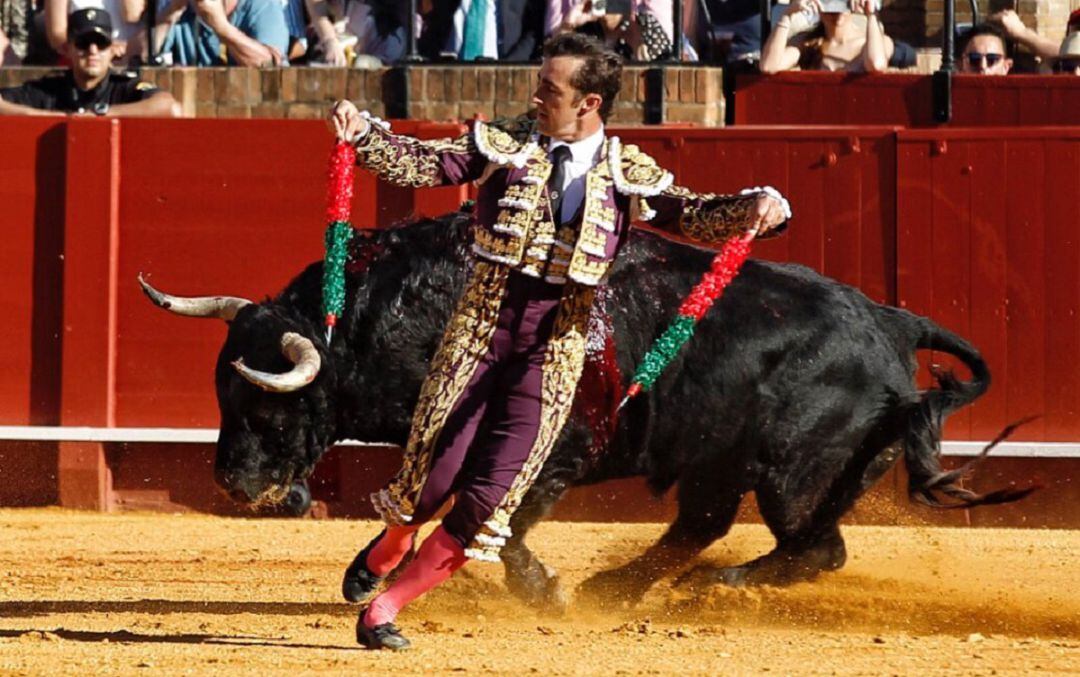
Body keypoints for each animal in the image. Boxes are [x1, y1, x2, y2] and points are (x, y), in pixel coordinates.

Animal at [141, 210, 1028, 608]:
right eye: (220, 389)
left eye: (264, 400)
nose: (233, 483)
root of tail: (890, 320)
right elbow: (432, 500)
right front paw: (365, 572)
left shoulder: (554, 450)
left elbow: (497, 516)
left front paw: (543, 588)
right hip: (721, 460)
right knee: (704, 524)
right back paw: (625, 586)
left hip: (796, 471)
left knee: (815, 546)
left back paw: (717, 587)